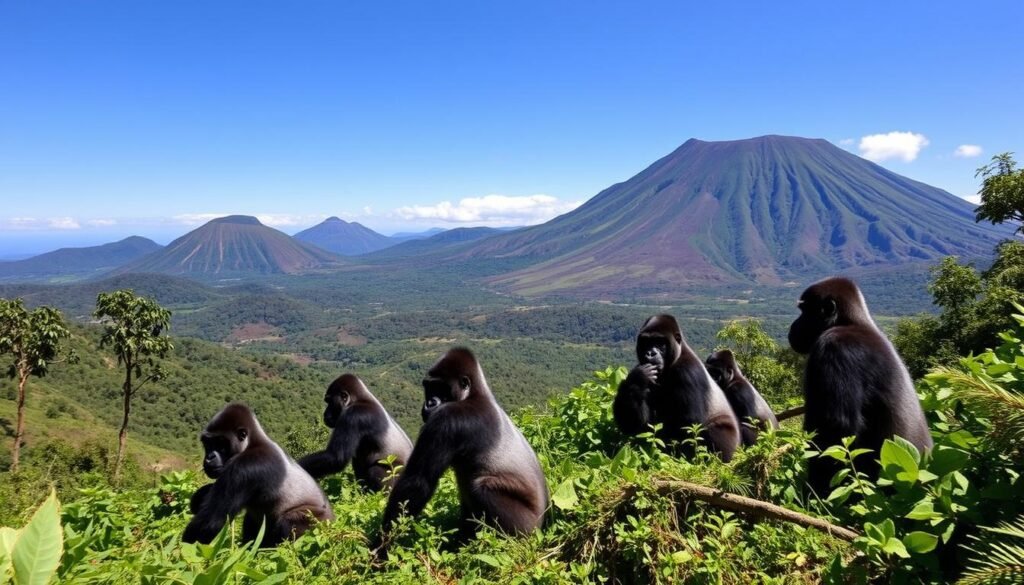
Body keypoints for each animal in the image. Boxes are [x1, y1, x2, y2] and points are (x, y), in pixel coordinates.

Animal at [183, 403, 334, 546]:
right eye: (208, 443)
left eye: (221, 444)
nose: (209, 457)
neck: (253, 443)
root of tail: (334, 520)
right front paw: (202, 494)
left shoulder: (246, 466)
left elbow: (210, 522)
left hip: (320, 526)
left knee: (290, 519)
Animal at [376, 347, 547, 549]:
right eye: (429, 387)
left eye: (441, 388)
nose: (430, 403)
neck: (476, 394)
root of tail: (542, 526)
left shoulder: (448, 417)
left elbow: (418, 482)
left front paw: (382, 544)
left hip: (527, 527)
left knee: (481, 487)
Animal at [614, 314, 740, 461]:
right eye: (647, 342)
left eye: (660, 343)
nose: (650, 353)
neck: (677, 356)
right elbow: (635, 424)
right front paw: (637, 378)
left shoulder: (687, 372)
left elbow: (690, 425)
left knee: (711, 429)